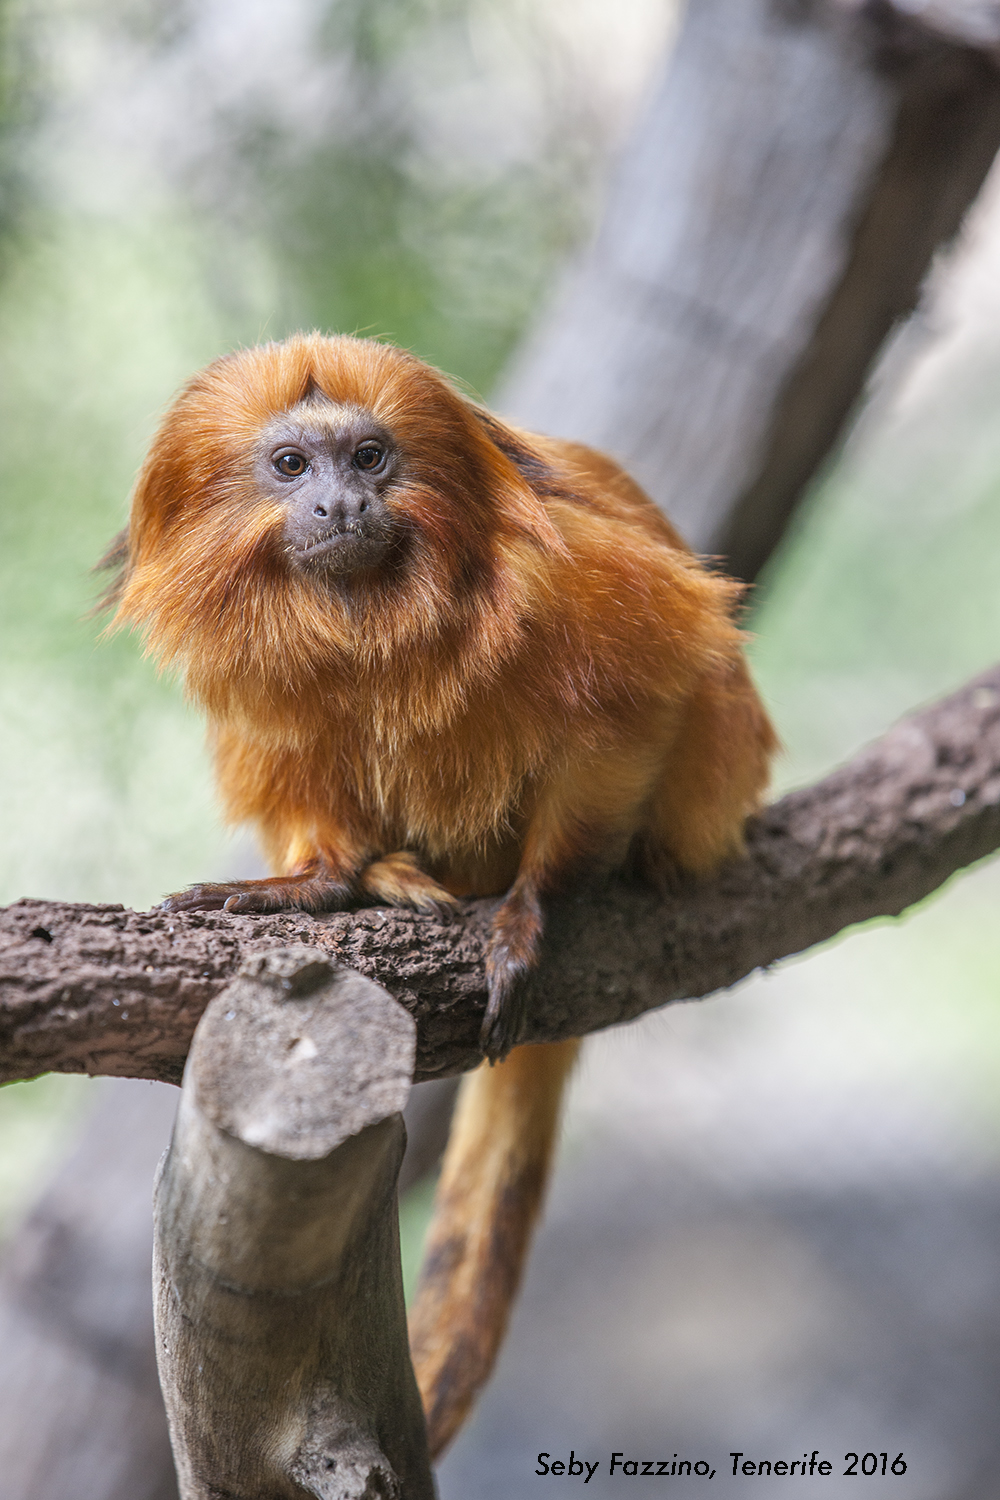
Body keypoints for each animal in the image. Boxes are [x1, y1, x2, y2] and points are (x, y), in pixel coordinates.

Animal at [103, 331, 777, 1459]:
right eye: (292, 466)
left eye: (371, 457)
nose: (340, 504)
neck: (371, 612)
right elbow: (301, 765)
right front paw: (319, 881)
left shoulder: (592, 590)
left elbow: (639, 700)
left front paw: (530, 912)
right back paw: (383, 878)